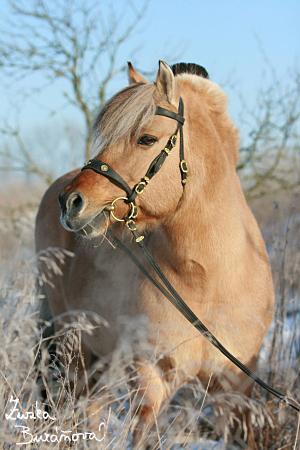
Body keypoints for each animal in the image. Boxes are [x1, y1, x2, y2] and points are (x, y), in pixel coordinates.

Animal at [34, 60, 274, 446]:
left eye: (146, 138)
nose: (71, 202)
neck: (210, 279)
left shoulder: (236, 389)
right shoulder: (151, 378)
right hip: (73, 348)